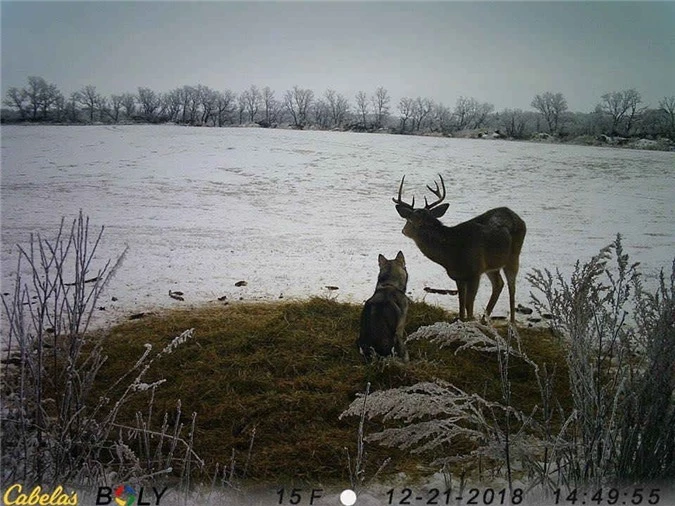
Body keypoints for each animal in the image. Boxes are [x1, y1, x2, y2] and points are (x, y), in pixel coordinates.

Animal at [390, 174, 528, 324]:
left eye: (408, 220)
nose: (403, 230)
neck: (452, 253)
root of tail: (517, 216)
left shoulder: (475, 273)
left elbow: (468, 304)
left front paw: (470, 322)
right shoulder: (458, 276)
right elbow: (461, 304)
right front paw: (462, 321)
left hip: (514, 256)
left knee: (511, 286)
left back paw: (512, 322)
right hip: (492, 265)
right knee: (498, 284)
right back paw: (484, 320)